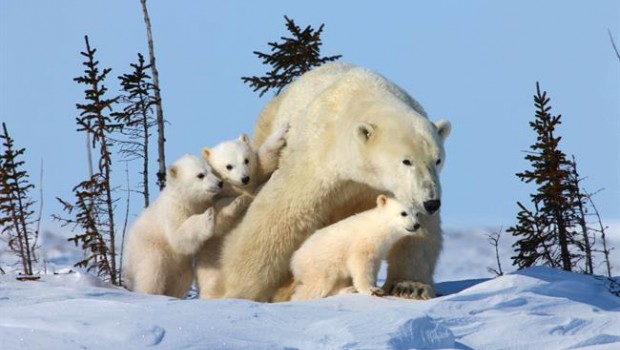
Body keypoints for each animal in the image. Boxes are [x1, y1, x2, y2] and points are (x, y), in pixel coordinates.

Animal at [123, 155, 249, 298]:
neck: (187, 200)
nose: (219, 183)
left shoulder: (203, 203)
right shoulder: (173, 211)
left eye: (211, 170)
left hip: (179, 268)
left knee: (183, 278)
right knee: (152, 273)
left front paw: (238, 201)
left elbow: (218, 224)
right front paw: (207, 215)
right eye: (200, 175)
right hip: (149, 250)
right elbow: (179, 235)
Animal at [290, 194, 422, 300]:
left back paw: (348, 289)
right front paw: (371, 289)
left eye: (417, 213)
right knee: (317, 285)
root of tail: (295, 258)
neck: (378, 227)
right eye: (403, 213)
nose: (416, 225)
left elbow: (374, 267)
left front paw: (377, 287)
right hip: (320, 265)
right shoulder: (362, 244)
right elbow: (361, 265)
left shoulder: (378, 251)